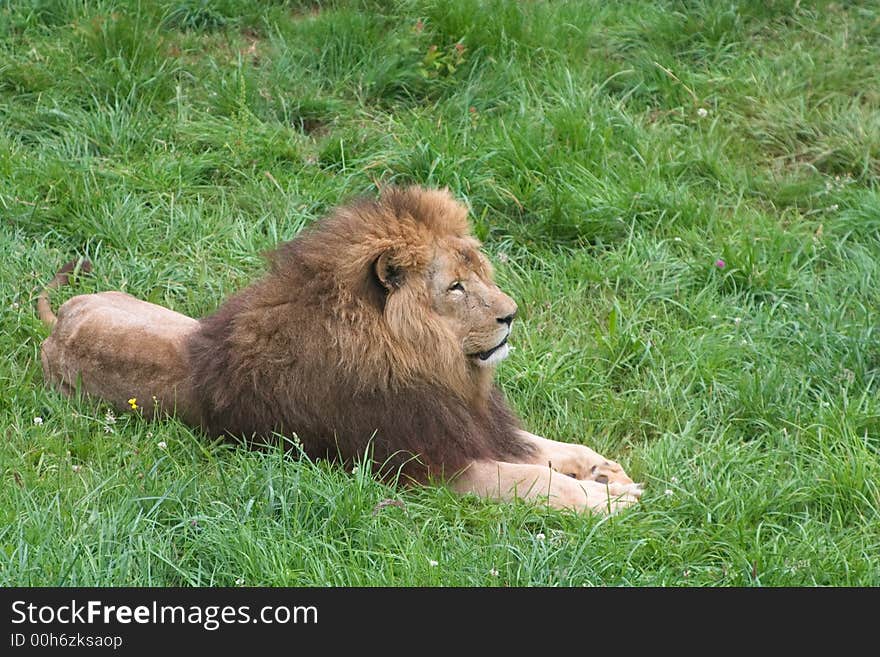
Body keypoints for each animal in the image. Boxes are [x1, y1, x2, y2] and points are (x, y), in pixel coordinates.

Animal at [39, 183, 640, 512]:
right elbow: (533, 480)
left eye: (480, 272)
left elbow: (544, 447)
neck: (429, 365)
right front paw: (608, 500)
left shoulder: (467, 423)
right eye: (455, 287)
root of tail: (55, 322)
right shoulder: (423, 463)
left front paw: (603, 469)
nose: (511, 316)